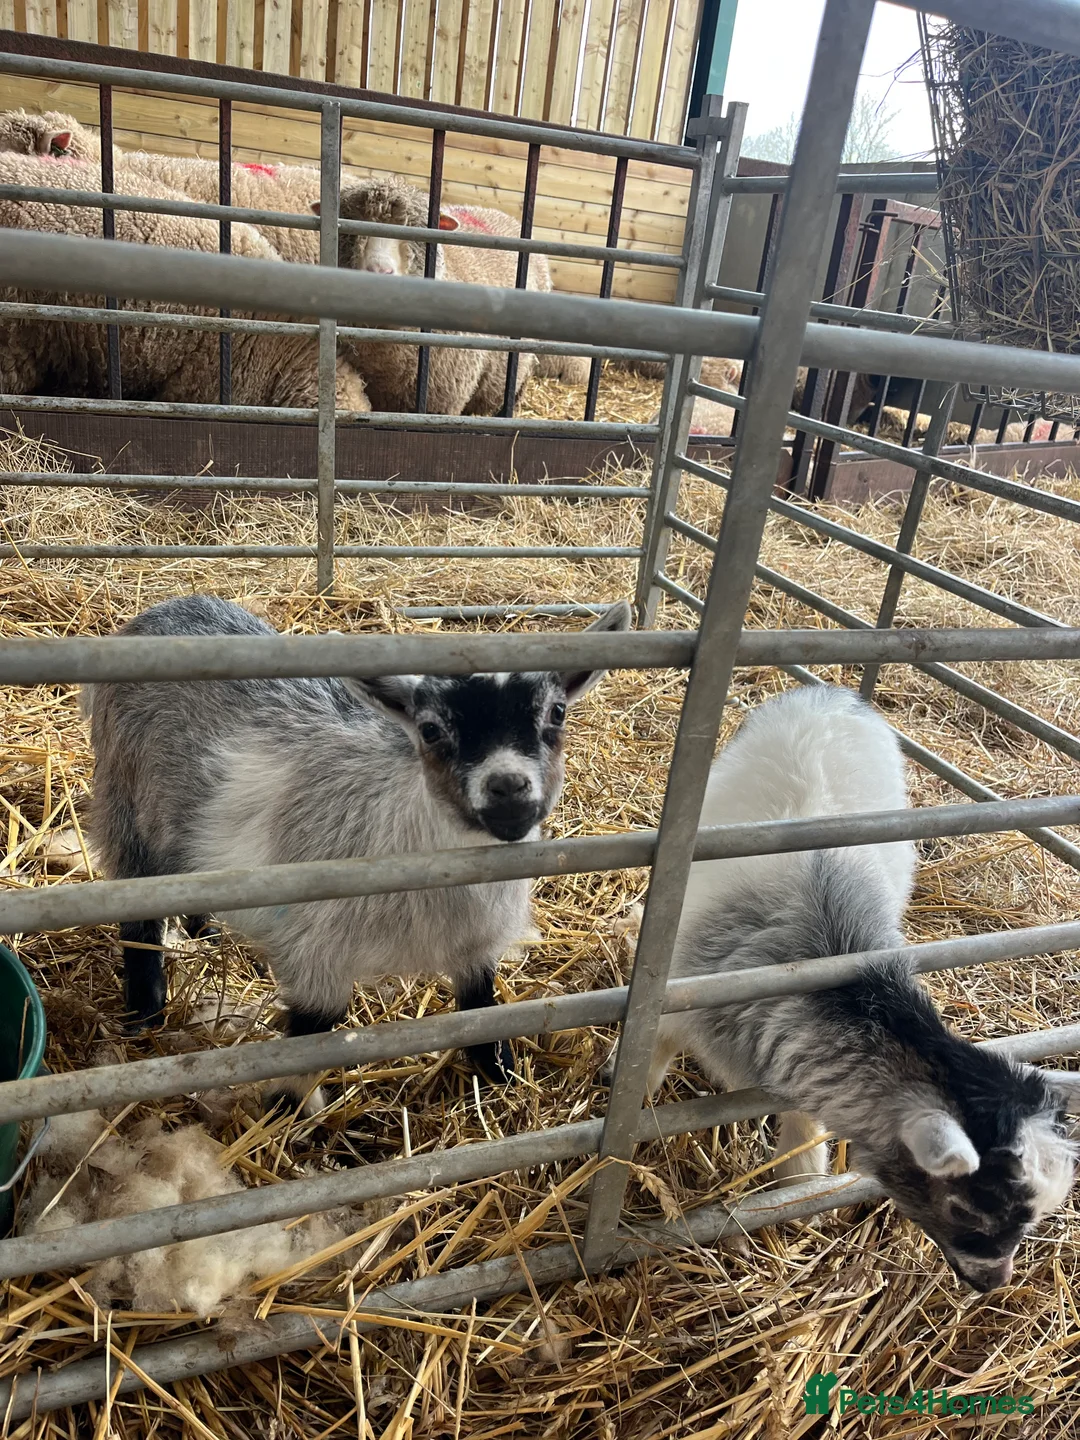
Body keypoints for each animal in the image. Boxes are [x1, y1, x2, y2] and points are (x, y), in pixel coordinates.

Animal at [83, 595, 631, 1110]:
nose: (509, 789)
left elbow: (479, 1007)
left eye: (557, 713)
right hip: (124, 799)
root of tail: (168, 609)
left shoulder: (475, 944)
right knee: (137, 906)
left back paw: (206, 932)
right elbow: (315, 1028)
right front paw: (283, 1108)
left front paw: (500, 1072)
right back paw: (145, 1009)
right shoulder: (317, 948)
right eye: (430, 730)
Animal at [612, 685, 1077, 1291]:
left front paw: (799, 1191)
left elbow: (803, 1130)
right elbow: (645, 1066)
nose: (991, 1284)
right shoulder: (676, 1002)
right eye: (966, 1208)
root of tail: (830, 691)